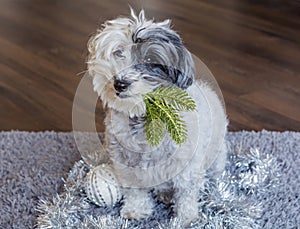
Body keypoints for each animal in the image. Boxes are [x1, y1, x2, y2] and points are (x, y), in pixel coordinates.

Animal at [86, 9, 227, 227]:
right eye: (118, 53)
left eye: (150, 62)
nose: (119, 83)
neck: (143, 118)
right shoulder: (125, 165)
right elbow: (135, 192)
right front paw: (136, 211)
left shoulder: (187, 169)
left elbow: (186, 194)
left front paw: (185, 219)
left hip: (216, 158)